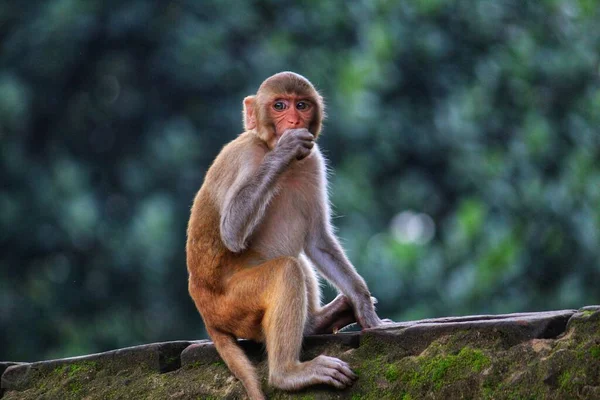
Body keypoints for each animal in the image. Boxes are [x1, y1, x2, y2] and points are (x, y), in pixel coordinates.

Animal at [185, 70, 386, 398]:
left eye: (301, 105)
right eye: (279, 105)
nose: (293, 121)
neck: (266, 146)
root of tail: (206, 312)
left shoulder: (314, 160)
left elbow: (317, 241)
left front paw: (364, 308)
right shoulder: (246, 155)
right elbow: (231, 231)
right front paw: (284, 151)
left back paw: (322, 320)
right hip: (232, 306)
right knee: (286, 270)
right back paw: (288, 374)